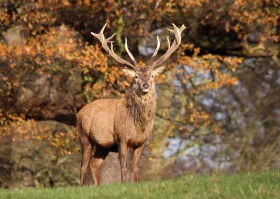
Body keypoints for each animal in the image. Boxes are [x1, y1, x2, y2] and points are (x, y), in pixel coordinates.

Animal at [77, 22, 186, 186]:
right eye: (135, 77)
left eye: (152, 75)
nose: (145, 85)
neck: (138, 126)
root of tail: (79, 112)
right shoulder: (122, 138)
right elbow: (124, 167)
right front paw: (123, 184)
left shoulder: (142, 142)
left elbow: (136, 169)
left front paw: (134, 184)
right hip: (84, 137)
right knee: (83, 165)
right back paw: (82, 186)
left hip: (103, 145)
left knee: (94, 163)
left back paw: (98, 185)